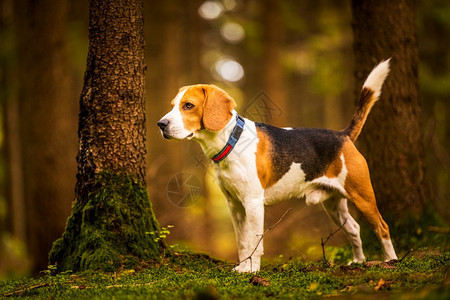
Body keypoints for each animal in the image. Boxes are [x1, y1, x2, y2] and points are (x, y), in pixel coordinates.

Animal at [158, 60, 398, 272]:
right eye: (172, 106)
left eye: (188, 105)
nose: (161, 124)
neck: (231, 141)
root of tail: (343, 135)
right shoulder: (234, 205)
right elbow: (242, 242)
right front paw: (242, 268)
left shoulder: (253, 203)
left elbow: (254, 241)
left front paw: (252, 270)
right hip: (333, 204)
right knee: (354, 228)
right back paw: (358, 261)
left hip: (362, 195)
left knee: (382, 227)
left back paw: (391, 261)